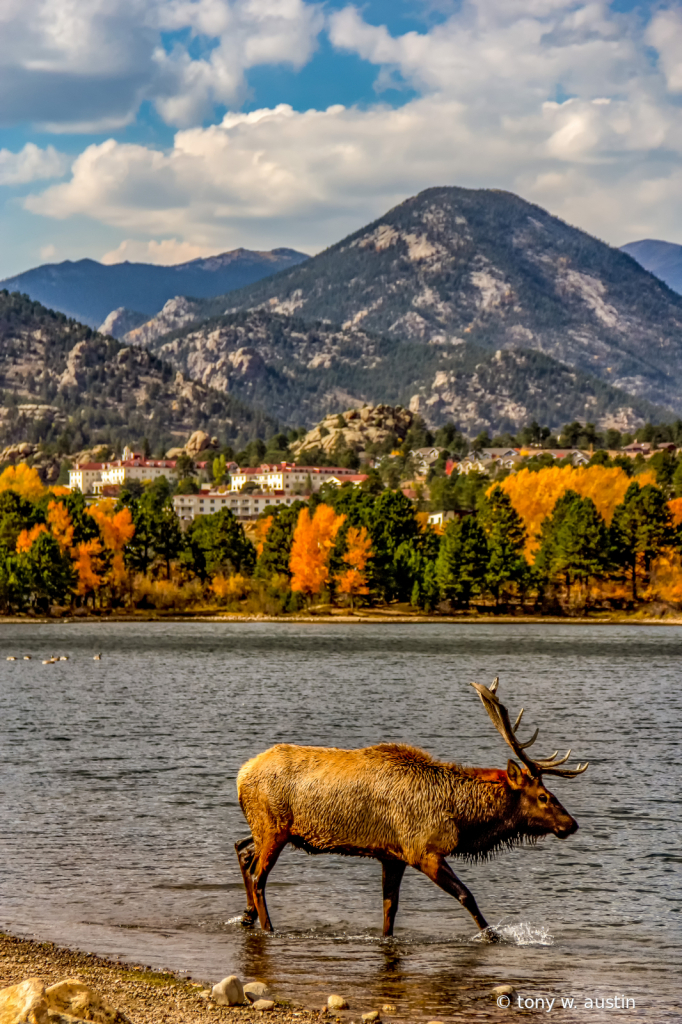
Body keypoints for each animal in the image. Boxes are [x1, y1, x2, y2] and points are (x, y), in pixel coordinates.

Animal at [233, 679, 585, 937]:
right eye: (543, 796)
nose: (571, 824)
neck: (461, 819)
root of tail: (241, 775)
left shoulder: (392, 855)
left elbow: (390, 910)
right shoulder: (423, 850)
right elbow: (466, 896)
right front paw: (493, 936)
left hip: (267, 829)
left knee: (242, 849)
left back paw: (248, 915)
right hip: (274, 828)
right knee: (258, 875)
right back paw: (267, 927)